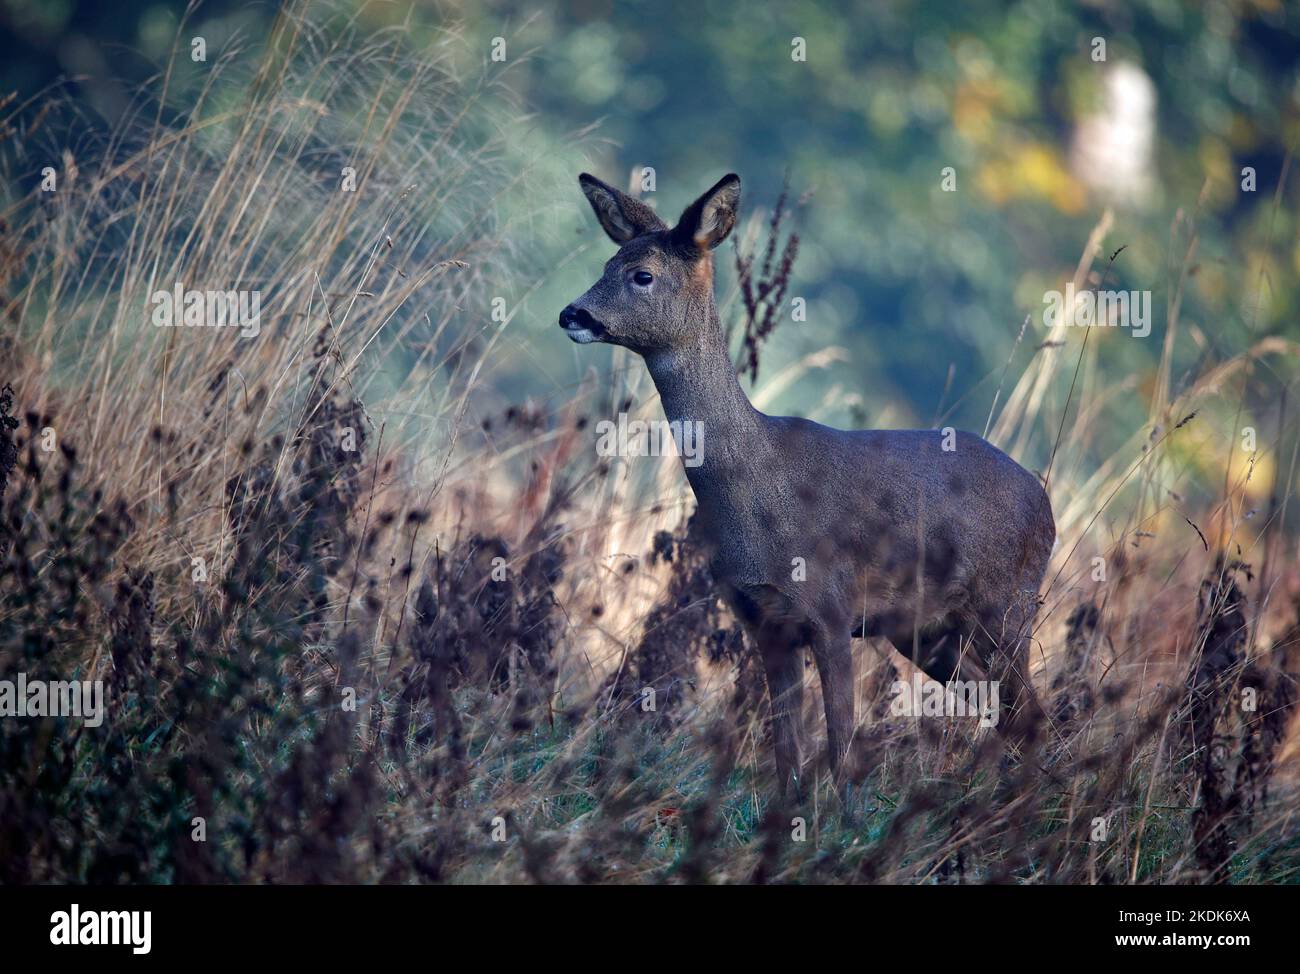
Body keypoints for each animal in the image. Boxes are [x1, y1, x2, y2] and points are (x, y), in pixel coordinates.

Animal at [559, 172, 1057, 802]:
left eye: (641, 275)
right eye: (608, 262)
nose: (571, 314)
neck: (757, 488)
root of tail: (1045, 500)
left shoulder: (832, 609)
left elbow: (841, 745)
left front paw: (841, 817)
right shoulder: (765, 621)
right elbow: (786, 752)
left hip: (1006, 603)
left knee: (1034, 712)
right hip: (929, 632)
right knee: (1007, 710)